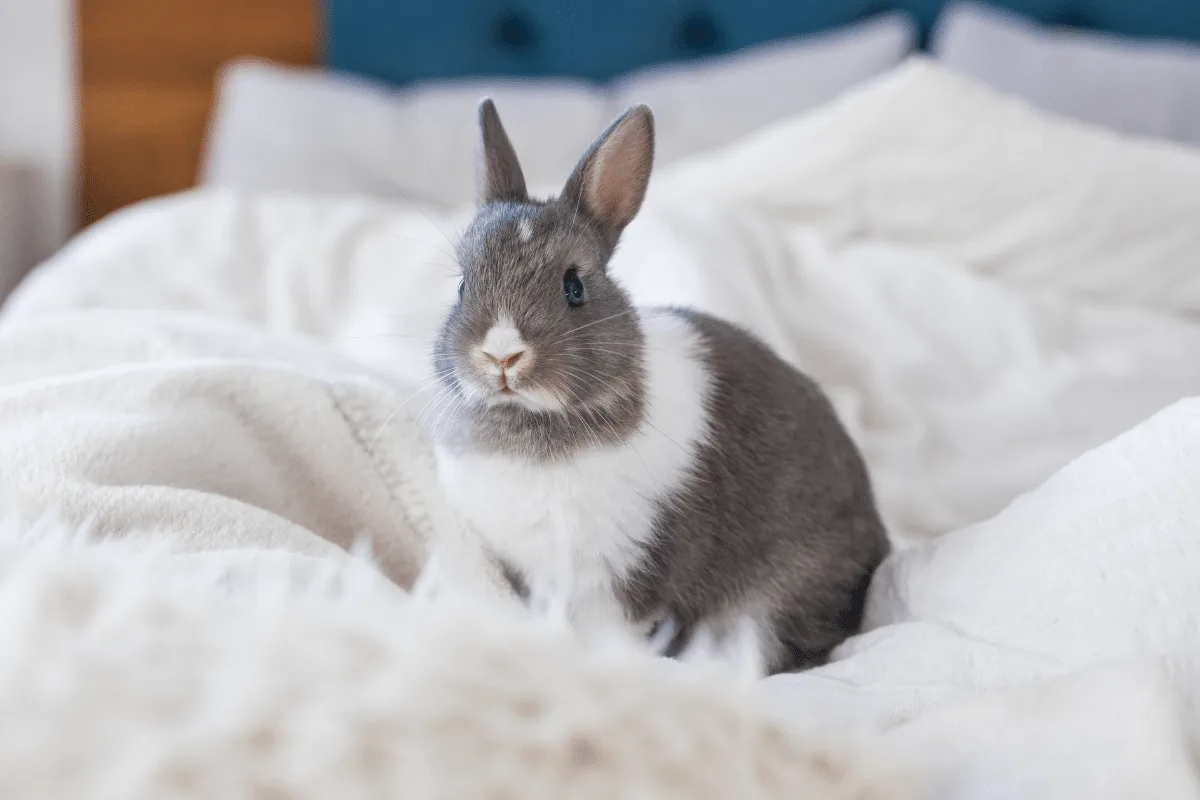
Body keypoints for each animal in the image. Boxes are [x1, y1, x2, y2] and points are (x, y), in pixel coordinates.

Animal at [428, 99, 890, 676]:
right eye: (462, 285)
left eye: (574, 287)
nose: (502, 356)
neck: (534, 424)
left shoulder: (626, 572)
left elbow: (610, 635)